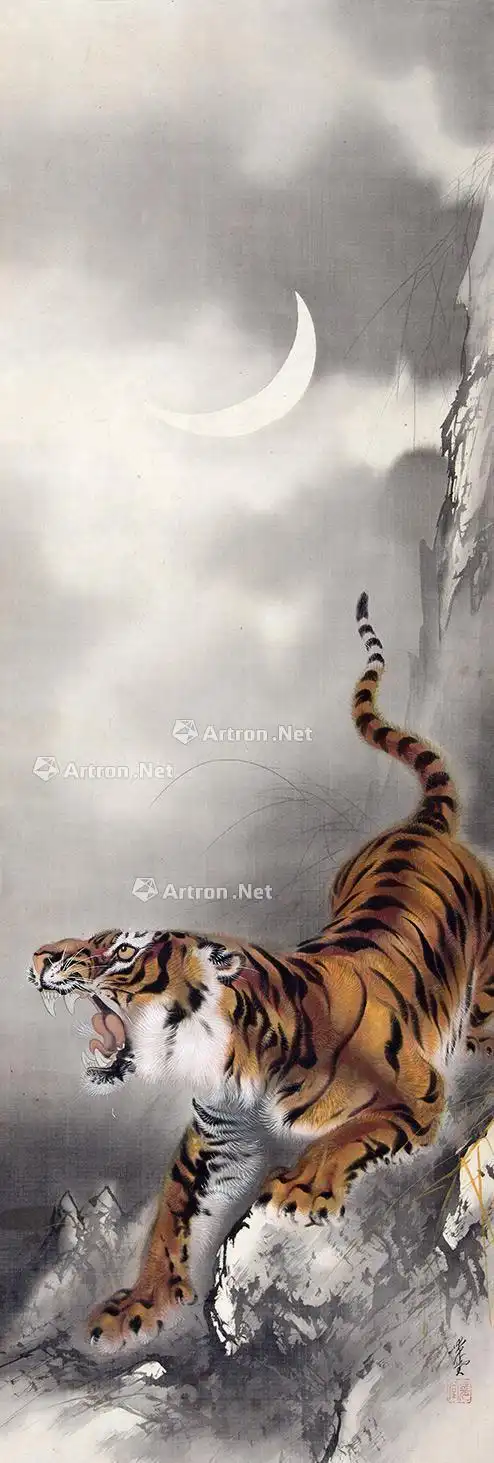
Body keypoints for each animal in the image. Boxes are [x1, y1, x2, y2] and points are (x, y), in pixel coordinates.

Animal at [29, 592, 494, 1353]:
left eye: (121, 952)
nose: (37, 959)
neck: (226, 1055)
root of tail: (419, 827)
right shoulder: (215, 1136)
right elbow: (169, 1220)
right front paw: (139, 1303)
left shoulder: (417, 1090)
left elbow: (348, 1134)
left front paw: (302, 1186)